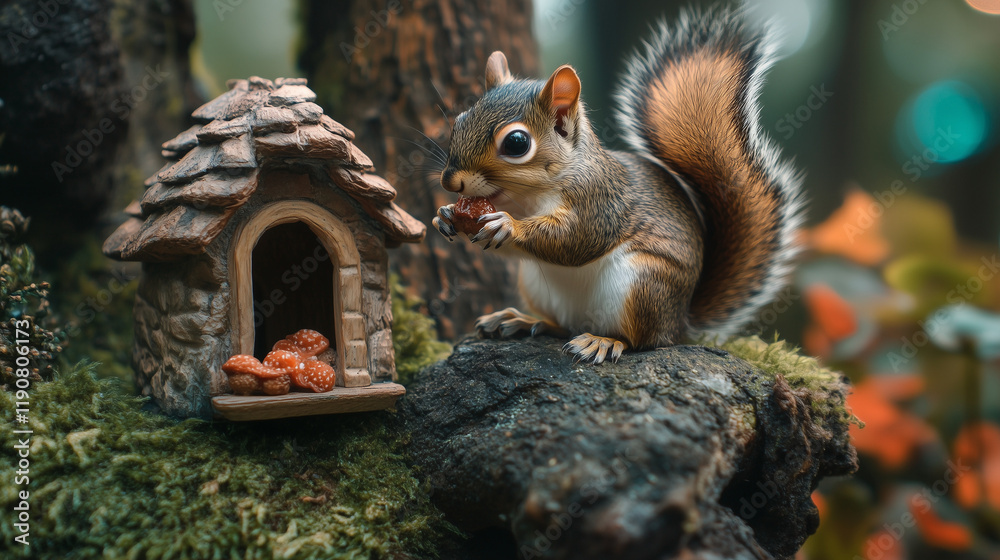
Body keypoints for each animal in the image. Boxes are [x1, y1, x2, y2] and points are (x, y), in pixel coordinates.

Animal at [432, 7, 804, 364]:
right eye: (460, 120)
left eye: (517, 143)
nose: (450, 181)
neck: (525, 197)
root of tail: (680, 321)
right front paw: (445, 216)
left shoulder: (600, 200)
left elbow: (576, 239)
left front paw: (507, 225)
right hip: (537, 284)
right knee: (561, 325)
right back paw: (523, 320)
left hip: (643, 285)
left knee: (641, 341)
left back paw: (603, 341)